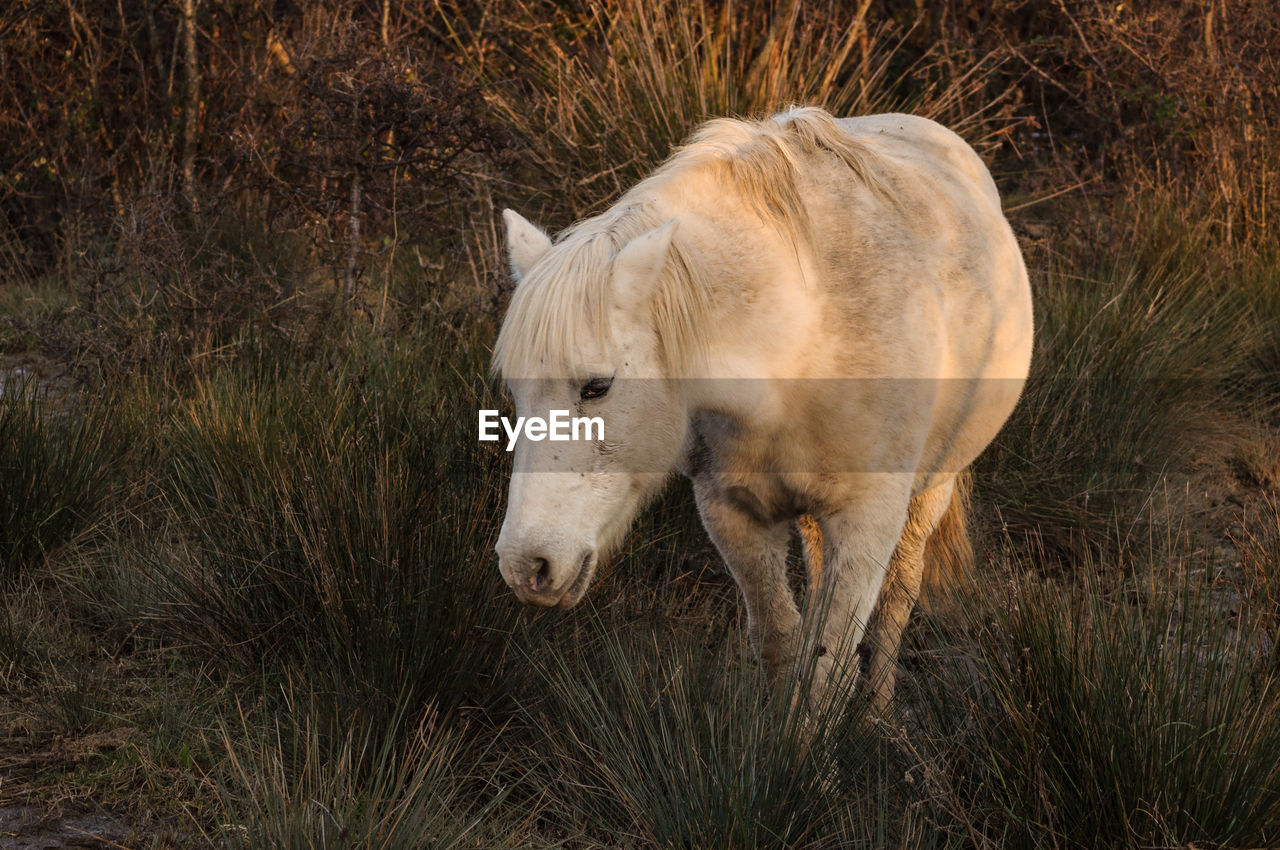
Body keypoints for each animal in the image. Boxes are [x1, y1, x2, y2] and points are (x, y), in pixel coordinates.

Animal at [486, 104, 1029, 711]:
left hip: (933, 487)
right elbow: (781, 644)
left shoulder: (867, 523)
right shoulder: (734, 514)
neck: (801, 340)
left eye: (597, 387)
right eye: (516, 391)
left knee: (897, 600)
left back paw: (878, 713)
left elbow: (827, 670)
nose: (525, 566)